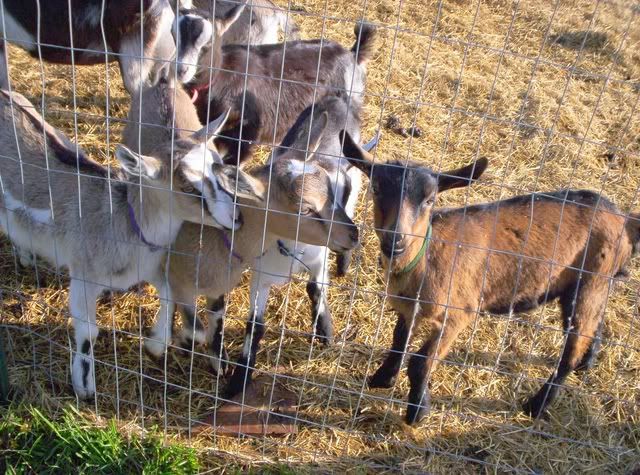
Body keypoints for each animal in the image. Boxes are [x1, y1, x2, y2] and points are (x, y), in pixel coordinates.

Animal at [0, 89, 251, 398]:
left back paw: (25, 256)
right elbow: (88, 331)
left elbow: (170, 297)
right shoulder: (83, 273)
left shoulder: (148, 266)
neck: (123, 220)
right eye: (187, 186)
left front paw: (156, 345)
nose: (237, 217)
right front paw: (84, 388)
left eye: (220, 167)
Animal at [176, 94, 366, 396]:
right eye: (304, 209)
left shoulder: (319, 257)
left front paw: (326, 334)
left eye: (331, 192)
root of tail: (336, 98)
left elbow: (315, 288)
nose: (353, 236)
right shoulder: (261, 274)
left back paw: (344, 262)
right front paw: (237, 382)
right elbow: (255, 326)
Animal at [340, 131, 640, 425]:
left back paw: (537, 405)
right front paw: (382, 378)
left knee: (573, 346)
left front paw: (417, 411)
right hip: (585, 285)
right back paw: (586, 365)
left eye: (430, 200)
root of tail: (624, 219)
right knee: (592, 326)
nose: (396, 240)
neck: (425, 258)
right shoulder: (407, 308)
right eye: (376, 189)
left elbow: (420, 362)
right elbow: (398, 341)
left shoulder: (458, 313)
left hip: (592, 280)